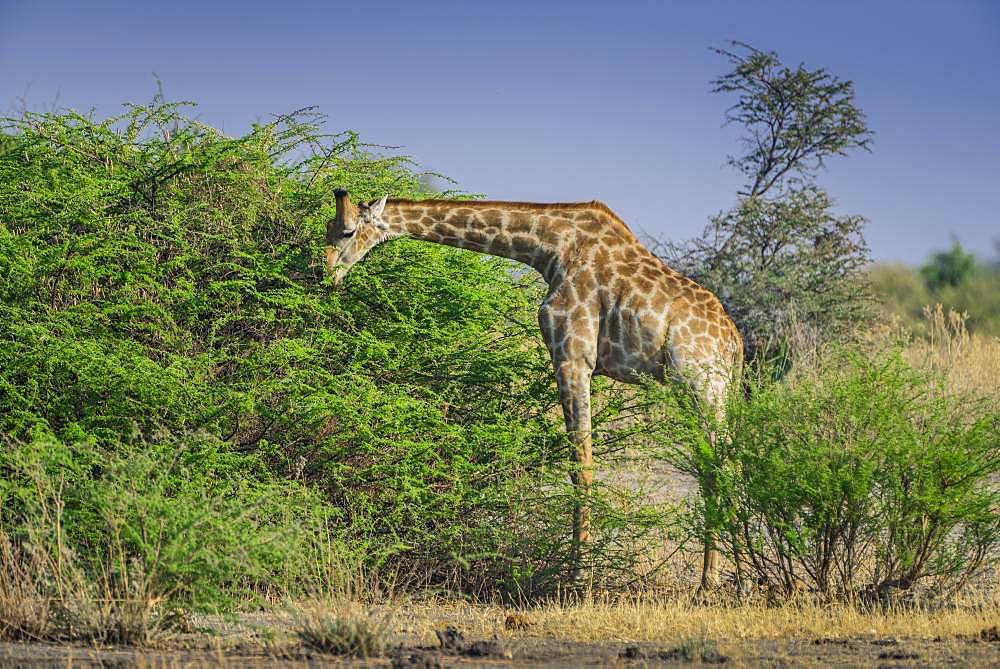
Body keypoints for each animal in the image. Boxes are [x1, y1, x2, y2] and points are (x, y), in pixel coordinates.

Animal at [326, 189, 744, 588]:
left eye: (346, 231)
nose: (325, 273)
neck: (550, 248)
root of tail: (735, 344)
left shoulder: (573, 356)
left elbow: (581, 466)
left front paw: (578, 576)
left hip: (701, 386)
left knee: (721, 465)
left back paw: (715, 581)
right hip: (714, 392)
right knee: (728, 463)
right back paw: (736, 577)